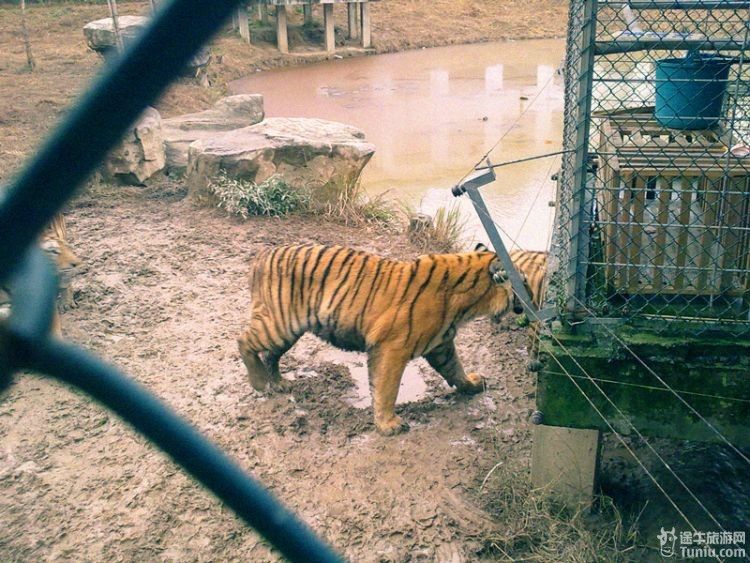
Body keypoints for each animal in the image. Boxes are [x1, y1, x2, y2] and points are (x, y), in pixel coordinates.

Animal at [242, 243, 552, 436]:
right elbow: (386, 389)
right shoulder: (391, 349)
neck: (469, 301)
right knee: (243, 340)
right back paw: (259, 383)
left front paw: (472, 385)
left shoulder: (441, 344)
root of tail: (262, 254)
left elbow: (455, 369)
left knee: (271, 354)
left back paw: (278, 383)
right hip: (278, 324)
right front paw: (388, 425)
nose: (534, 297)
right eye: (525, 280)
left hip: (289, 332)